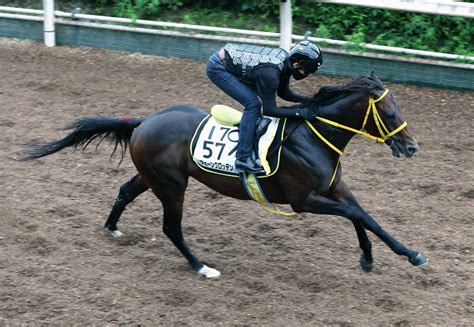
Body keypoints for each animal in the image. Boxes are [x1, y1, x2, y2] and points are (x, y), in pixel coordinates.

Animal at [24, 73, 428, 278]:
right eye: (390, 113)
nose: (412, 147)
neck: (313, 136)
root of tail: (145, 120)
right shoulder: (304, 200)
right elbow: (358, 214)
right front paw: (410, 255)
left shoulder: (334, 188)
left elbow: (363, 215)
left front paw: (374, 257)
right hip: (171, 185)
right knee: (171, 227)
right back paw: (202, 267)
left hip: (152, 177)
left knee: (125, 190)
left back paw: (112, 228)